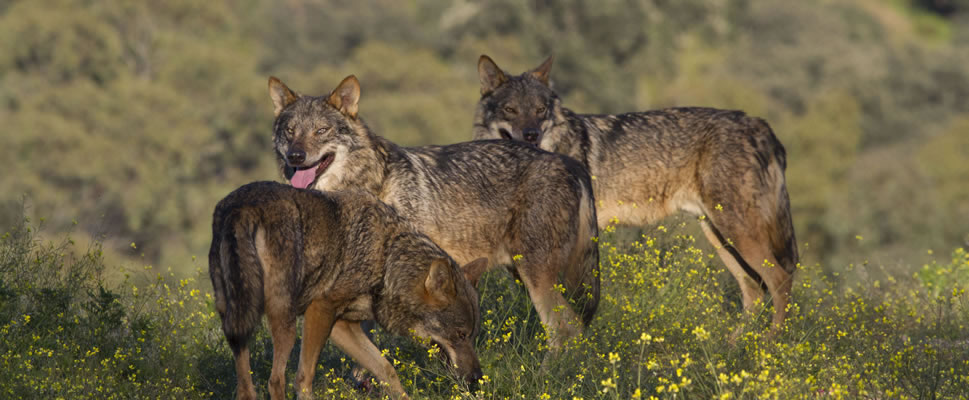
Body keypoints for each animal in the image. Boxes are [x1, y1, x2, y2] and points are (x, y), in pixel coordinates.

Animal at [209, 182, 488, 400]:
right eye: (460, 335)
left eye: (473, 335)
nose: (477, 377)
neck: (386, 260)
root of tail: (242, 207)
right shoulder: (320, 309)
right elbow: (304, 379)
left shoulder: (342, 326)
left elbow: (387, 369)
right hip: (284, 324)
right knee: (276, 381)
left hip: (237, 323)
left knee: (246, 389)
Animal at [264, 76, 596, 354]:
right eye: (290, 132)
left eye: (321, 131)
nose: (295, 156)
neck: (369, 186)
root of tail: (568, 163)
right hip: (523, 276)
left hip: (535, 277)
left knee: (567, 330)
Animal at [468, 56, 796, 332]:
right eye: (510, 110)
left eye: (540, 110)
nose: (531, 135)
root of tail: (759, 123)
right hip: (721, 236)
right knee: (755, 290)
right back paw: (738, 346)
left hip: (736, 232)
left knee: (780, 280)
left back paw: (772, 343)